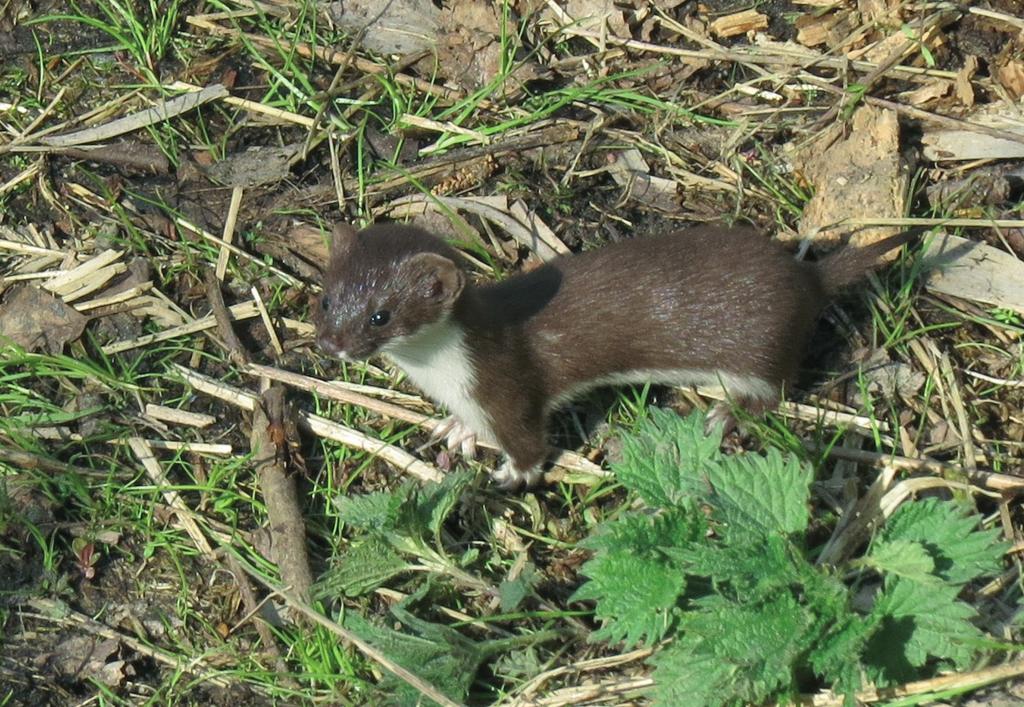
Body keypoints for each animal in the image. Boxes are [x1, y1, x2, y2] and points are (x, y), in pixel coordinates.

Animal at [313, 221, 921, 483]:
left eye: (380, 315)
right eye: (326, 298)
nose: (330, 344)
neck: (440, 375)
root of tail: (805, 277)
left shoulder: (508, 388)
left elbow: (530, 441)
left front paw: (512, 475)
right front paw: (457, 430)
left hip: (760, 351)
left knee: (774, 392)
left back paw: (725, 414)